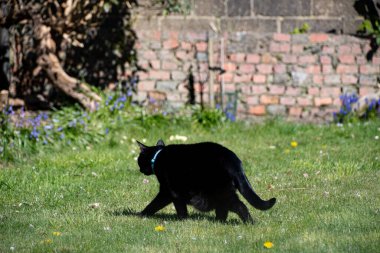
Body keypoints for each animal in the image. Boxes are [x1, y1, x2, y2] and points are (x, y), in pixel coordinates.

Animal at [137, 138, 276, 223]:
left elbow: (157, 205)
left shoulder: (168, 191)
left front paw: (140, 214)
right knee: (223, 209)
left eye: (139, 160)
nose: (139, 170)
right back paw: (218, 222)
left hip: (220, 192)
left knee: (240, 206)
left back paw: (249, 223)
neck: (158, 156)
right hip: (222, 192)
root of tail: (234, 160)